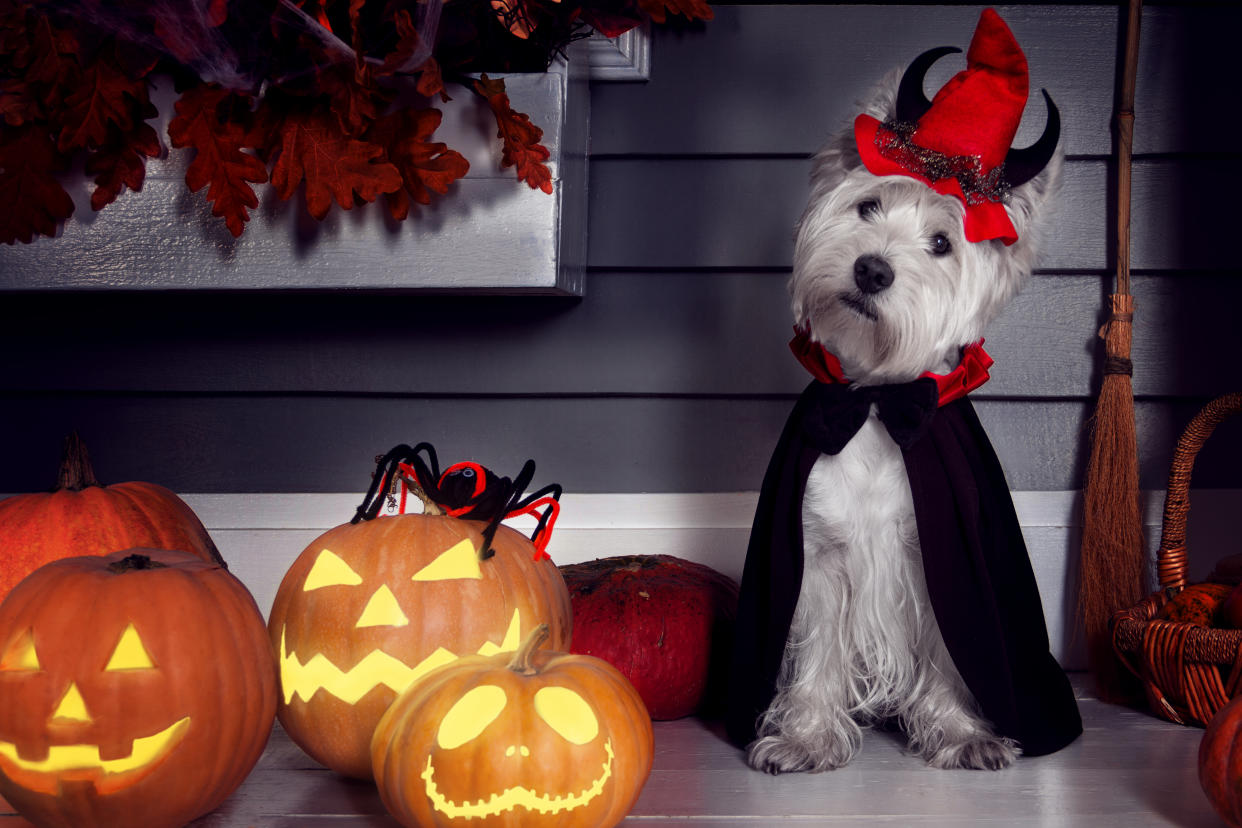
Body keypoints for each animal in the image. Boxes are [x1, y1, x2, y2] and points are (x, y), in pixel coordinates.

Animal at [725, 8, 1083, 769]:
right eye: (866, 207)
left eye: (943, 244)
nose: (871, 269)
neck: (875, 403)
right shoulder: (820, 554)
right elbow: (818, 652)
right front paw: (804, 735)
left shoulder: (937, 558)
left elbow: (951, 653)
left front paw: (961, 734)